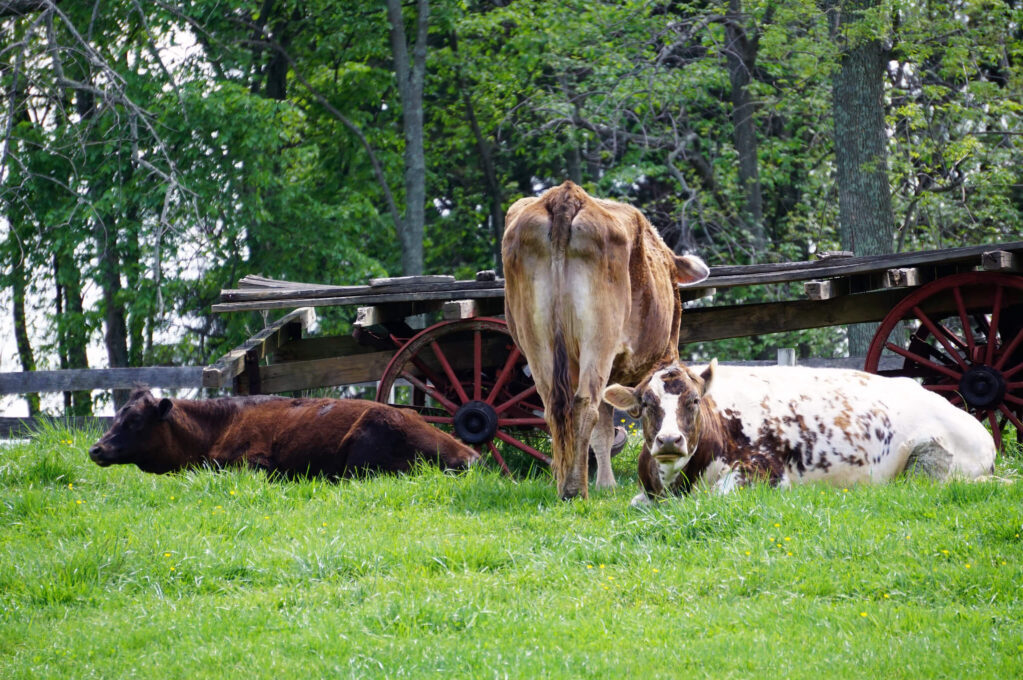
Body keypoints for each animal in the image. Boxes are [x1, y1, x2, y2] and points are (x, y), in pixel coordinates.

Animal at [499, 182, 707, 499]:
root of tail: (566, 196)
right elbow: (614, 428)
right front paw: (607, 484)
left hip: (535, 340)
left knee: (555, 409)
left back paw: (563, 481)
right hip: (599, 339)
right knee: (585, 406)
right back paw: (575, 489)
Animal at [601, 359, 994, 503]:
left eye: (694, 400)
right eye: (646, 403)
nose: (669, 440)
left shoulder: (765, 472)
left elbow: (718, 496)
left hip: (930, 460)